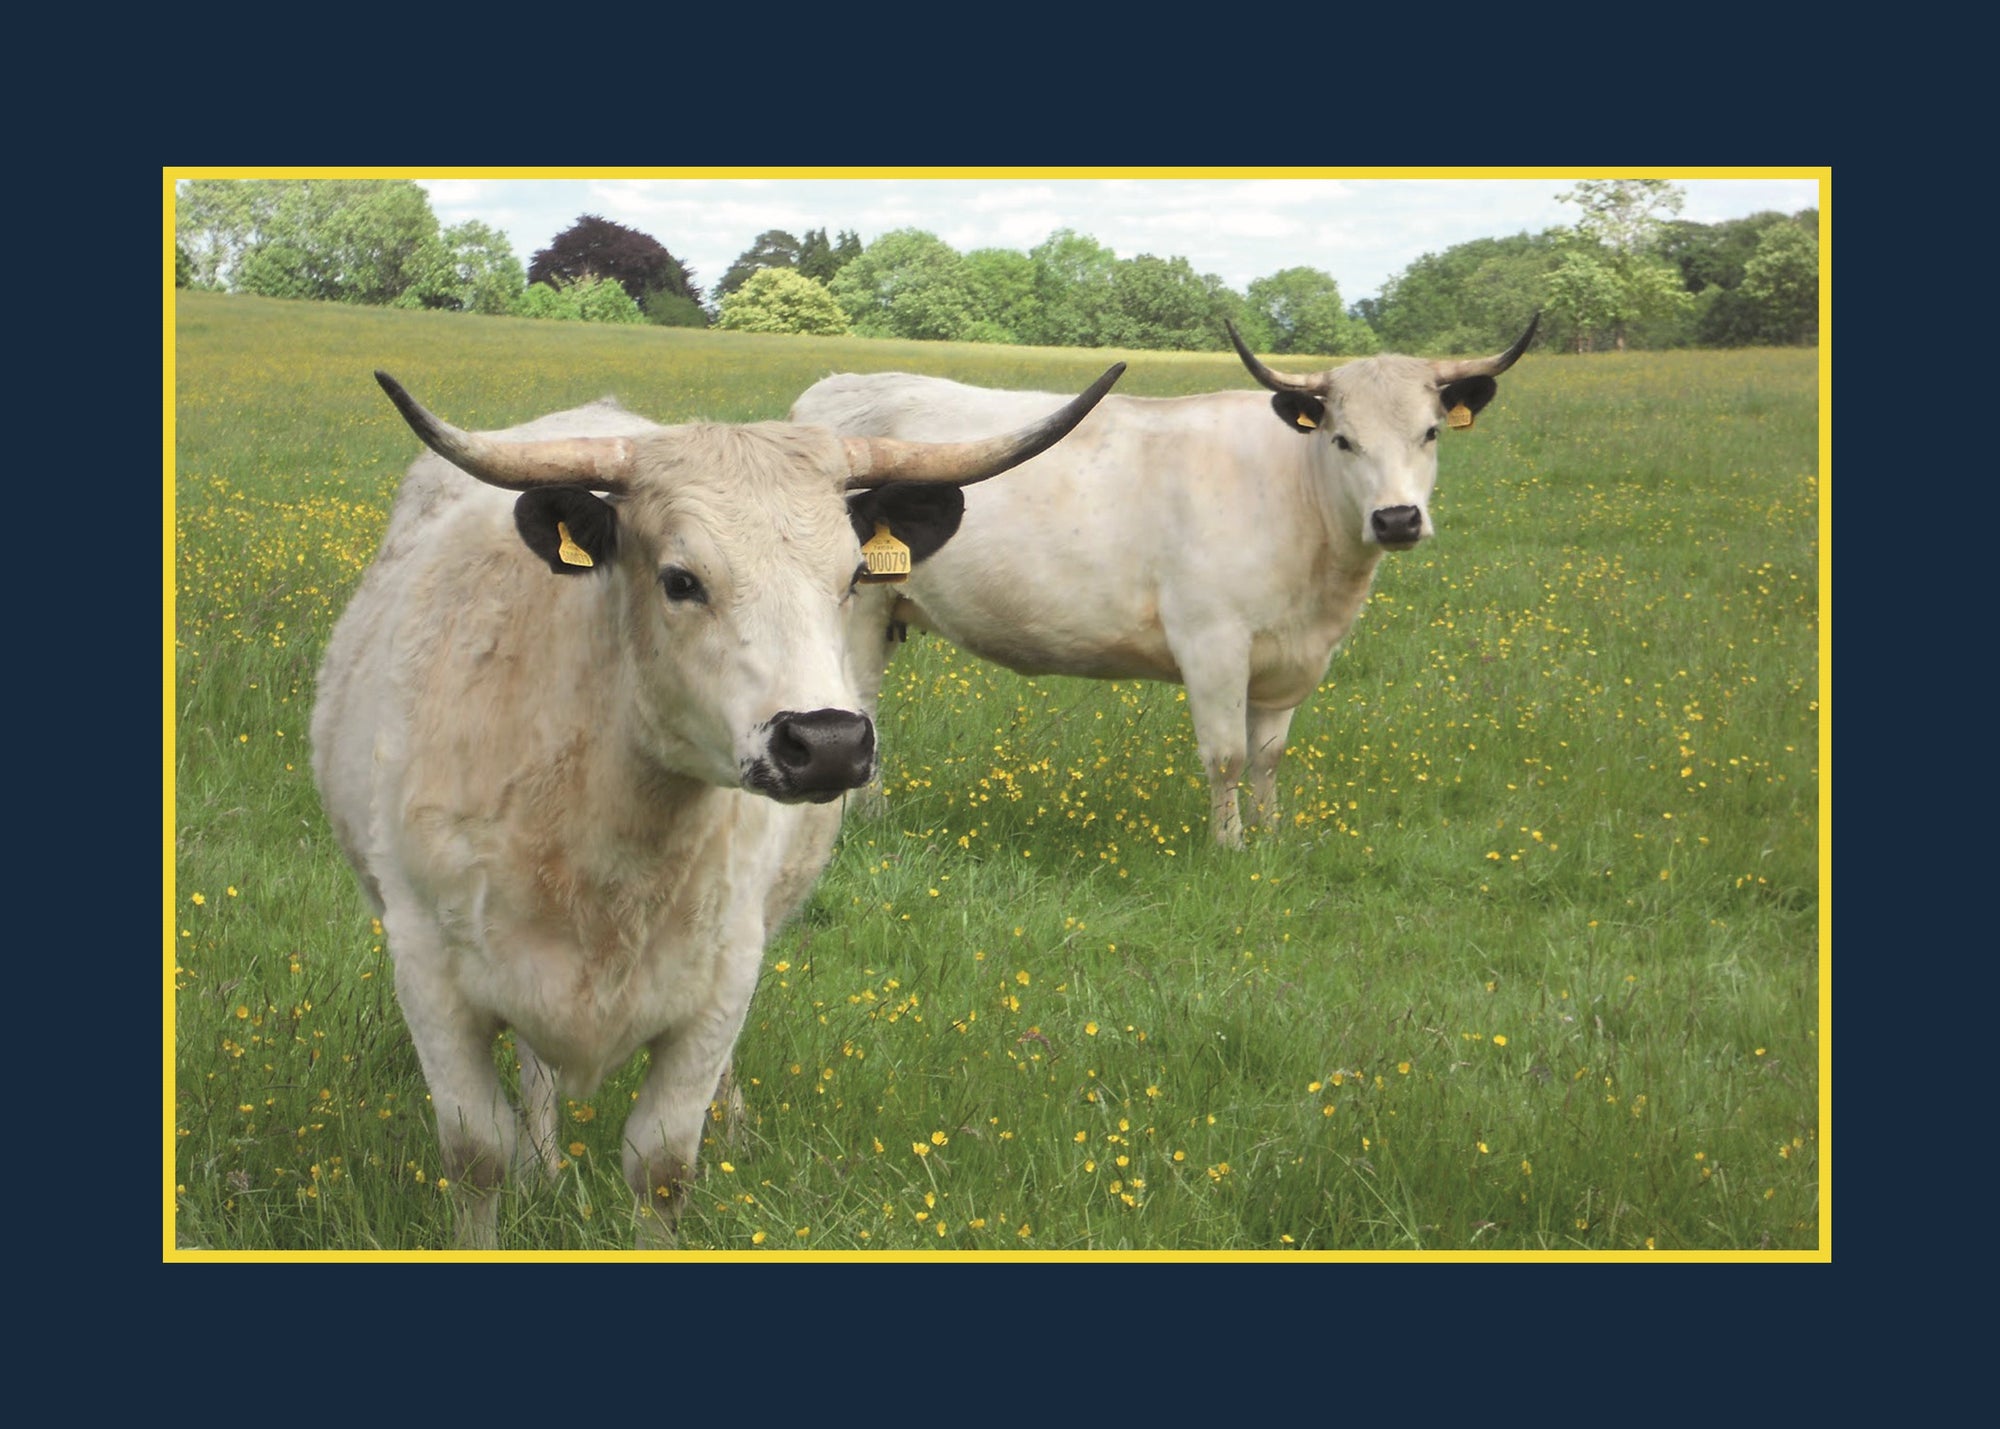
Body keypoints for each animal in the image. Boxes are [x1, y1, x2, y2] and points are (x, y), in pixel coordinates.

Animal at [309, 362, 1124, 1248]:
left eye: (850, 579)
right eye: (681, 580)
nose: (828, 740)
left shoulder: (720, 975)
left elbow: (663, 1162)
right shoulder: (429, 970)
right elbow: (475, 1152)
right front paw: (517, 1180)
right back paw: (546, 1166)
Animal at [788, 316, 1537, 848]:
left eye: (1431, 433)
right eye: (1342, 438)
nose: (1398, 518)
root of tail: (829, 393)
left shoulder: (1291, 658)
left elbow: (1268, 755)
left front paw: (1270, 839)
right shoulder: (1212, 640)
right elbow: (1227, 755)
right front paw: (1229, 849)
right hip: (856, 616)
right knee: (861, 708)